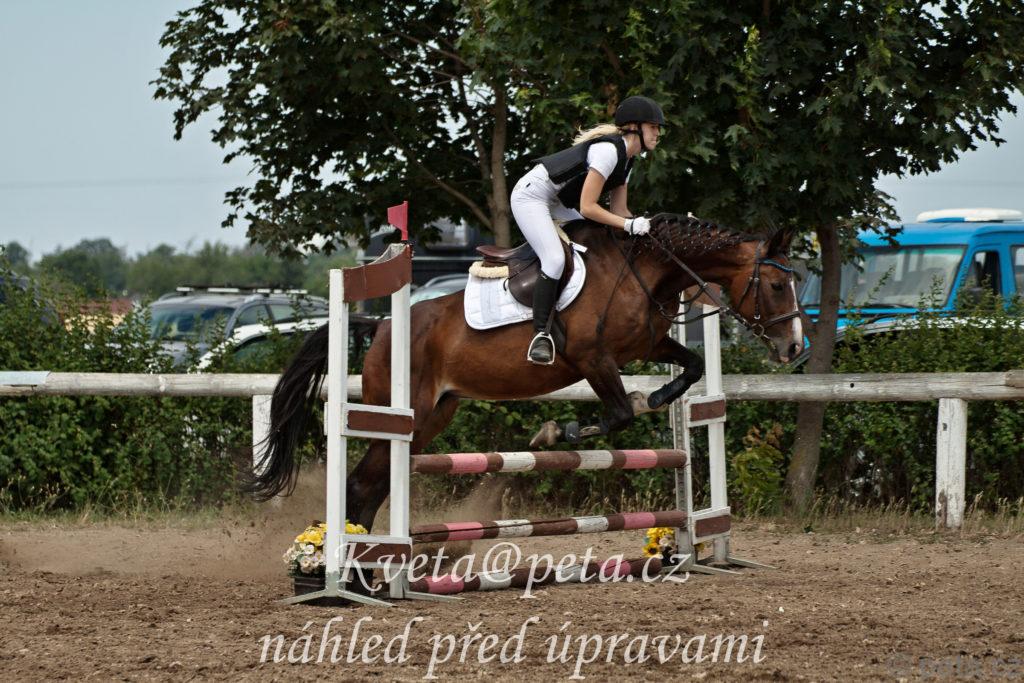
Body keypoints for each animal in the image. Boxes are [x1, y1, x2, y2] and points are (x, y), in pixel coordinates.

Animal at [250, 213, 803, 530]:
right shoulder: (593, 358)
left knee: (372, 485)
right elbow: (618, 415)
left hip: (432, 419)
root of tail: (381, 323)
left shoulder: (644, 344)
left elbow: (692, 365)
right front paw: (556, 431)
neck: (644, 271)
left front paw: (660, 397)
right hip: (406, 412)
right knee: (364, 483)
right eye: (778, 285)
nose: (794, 348)